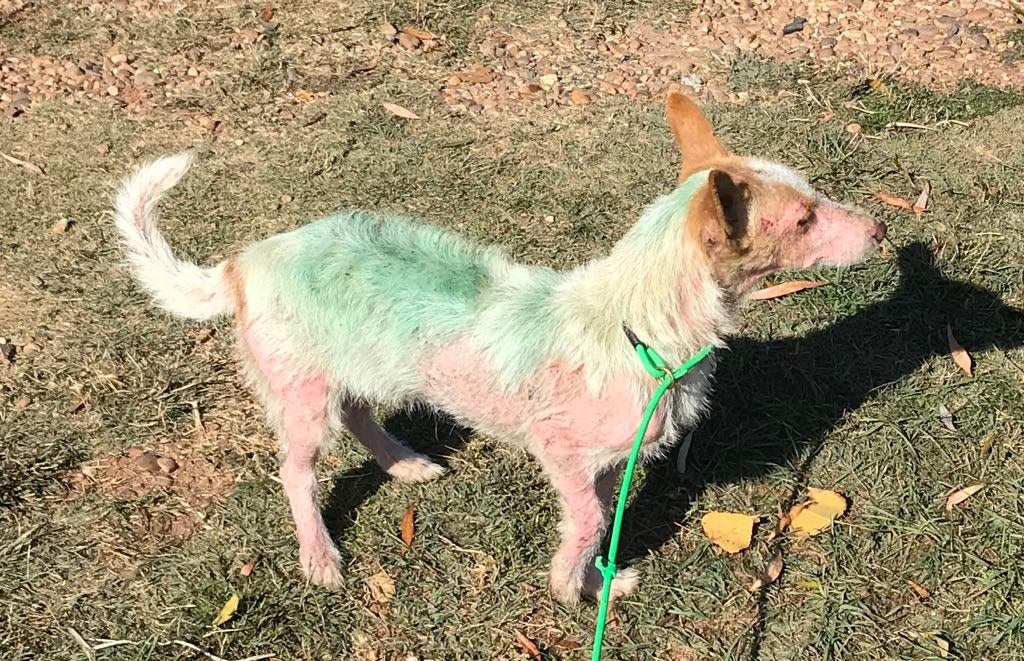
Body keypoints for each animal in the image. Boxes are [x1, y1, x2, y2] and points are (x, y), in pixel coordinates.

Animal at [110, 93, 880, 605]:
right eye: (804, 219)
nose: (878, 228)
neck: (640, 325)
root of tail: (242, 263)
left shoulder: (608, 462)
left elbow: (599, 519)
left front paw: (596, 579)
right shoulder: (563, 454)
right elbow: (589, 520)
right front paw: (571, 592)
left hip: (354, 369)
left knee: (360, 414)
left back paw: (404, 462)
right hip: (302, 396)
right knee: (296, 473)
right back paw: (319, 554)